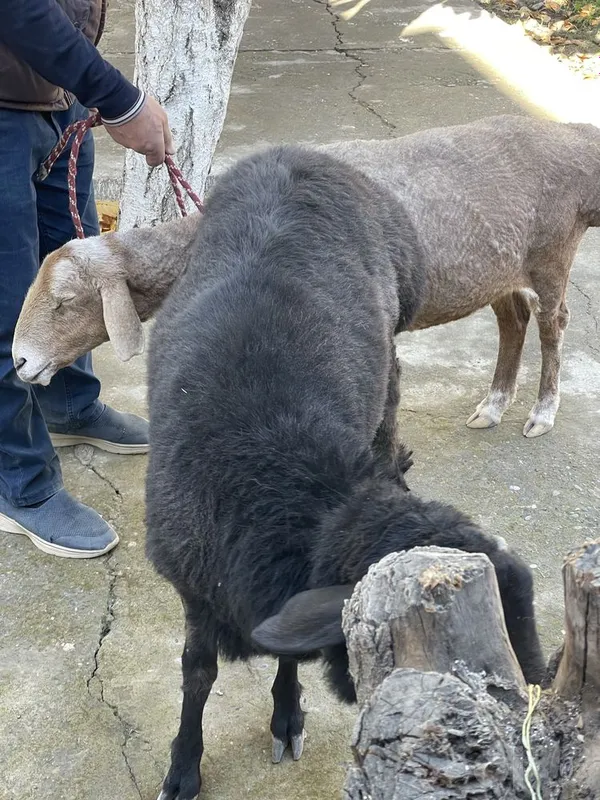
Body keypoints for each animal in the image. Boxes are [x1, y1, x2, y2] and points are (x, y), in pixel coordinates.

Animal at [14, 114, 600, 437]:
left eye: (64, 300)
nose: (19, 360)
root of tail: (577, 144)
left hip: (551, 252)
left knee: (553, 325)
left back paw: (541, 413)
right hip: (498, 266)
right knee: (513, 321)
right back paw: (493, 406)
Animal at [146, 143, 546, 800]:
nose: (537, 719)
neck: (275, 471)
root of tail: (299, 154)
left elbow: (284, 655)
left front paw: (286, 716)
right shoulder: (196, 585)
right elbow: (196, 672)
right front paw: (183, 766)